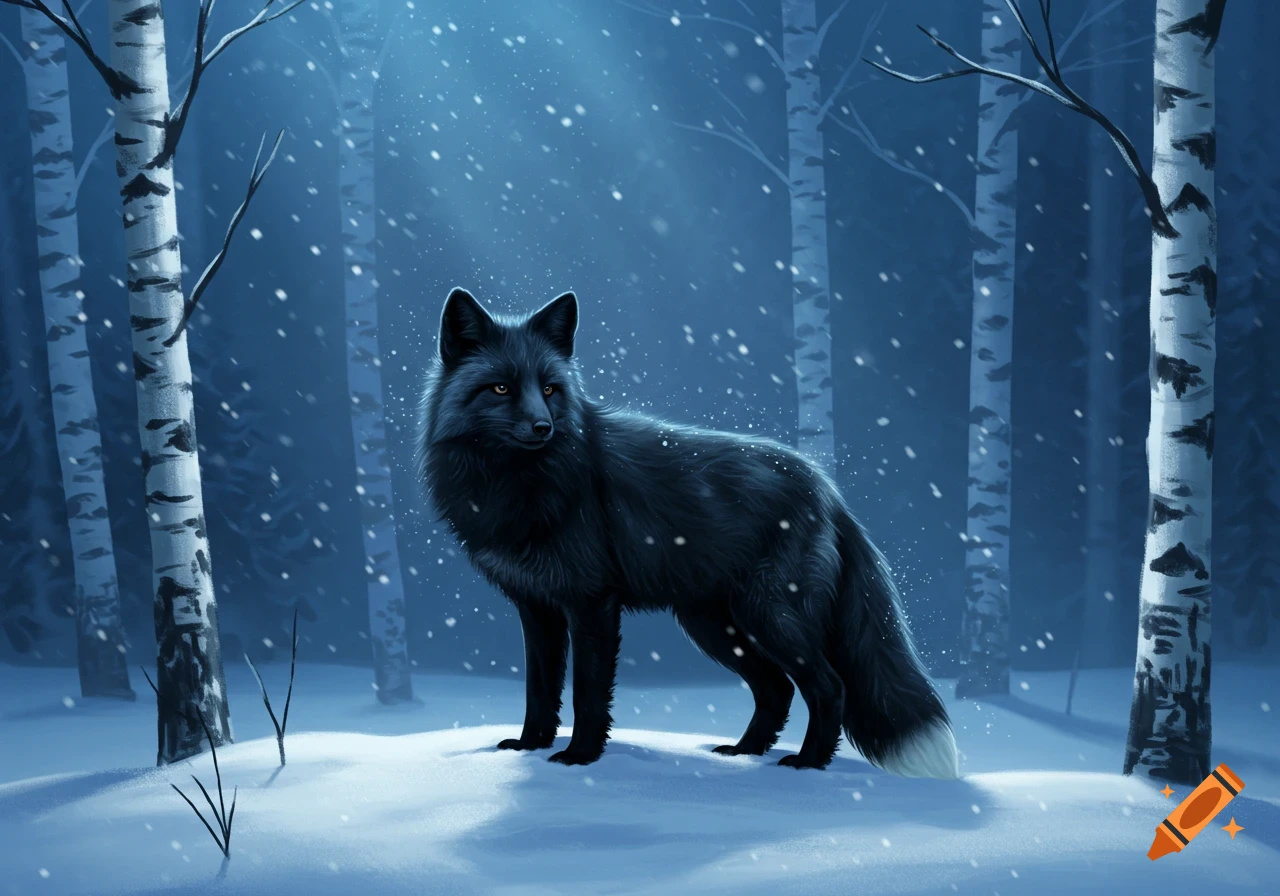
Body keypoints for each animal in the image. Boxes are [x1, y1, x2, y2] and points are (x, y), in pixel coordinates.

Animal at [416, 287, 959, 778]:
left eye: (549, 389)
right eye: (501, 389)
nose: (542, 427)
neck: (519, 485)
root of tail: (828, 491)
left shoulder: (592, 602)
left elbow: (588, 693)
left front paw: (580, 757)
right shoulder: (537, 607)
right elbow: (539, 689)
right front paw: (530, 747)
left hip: (770, 617)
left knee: (829, 687)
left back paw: (807, 764)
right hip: (715, 625)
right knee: (777, 689)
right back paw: (743, 753)